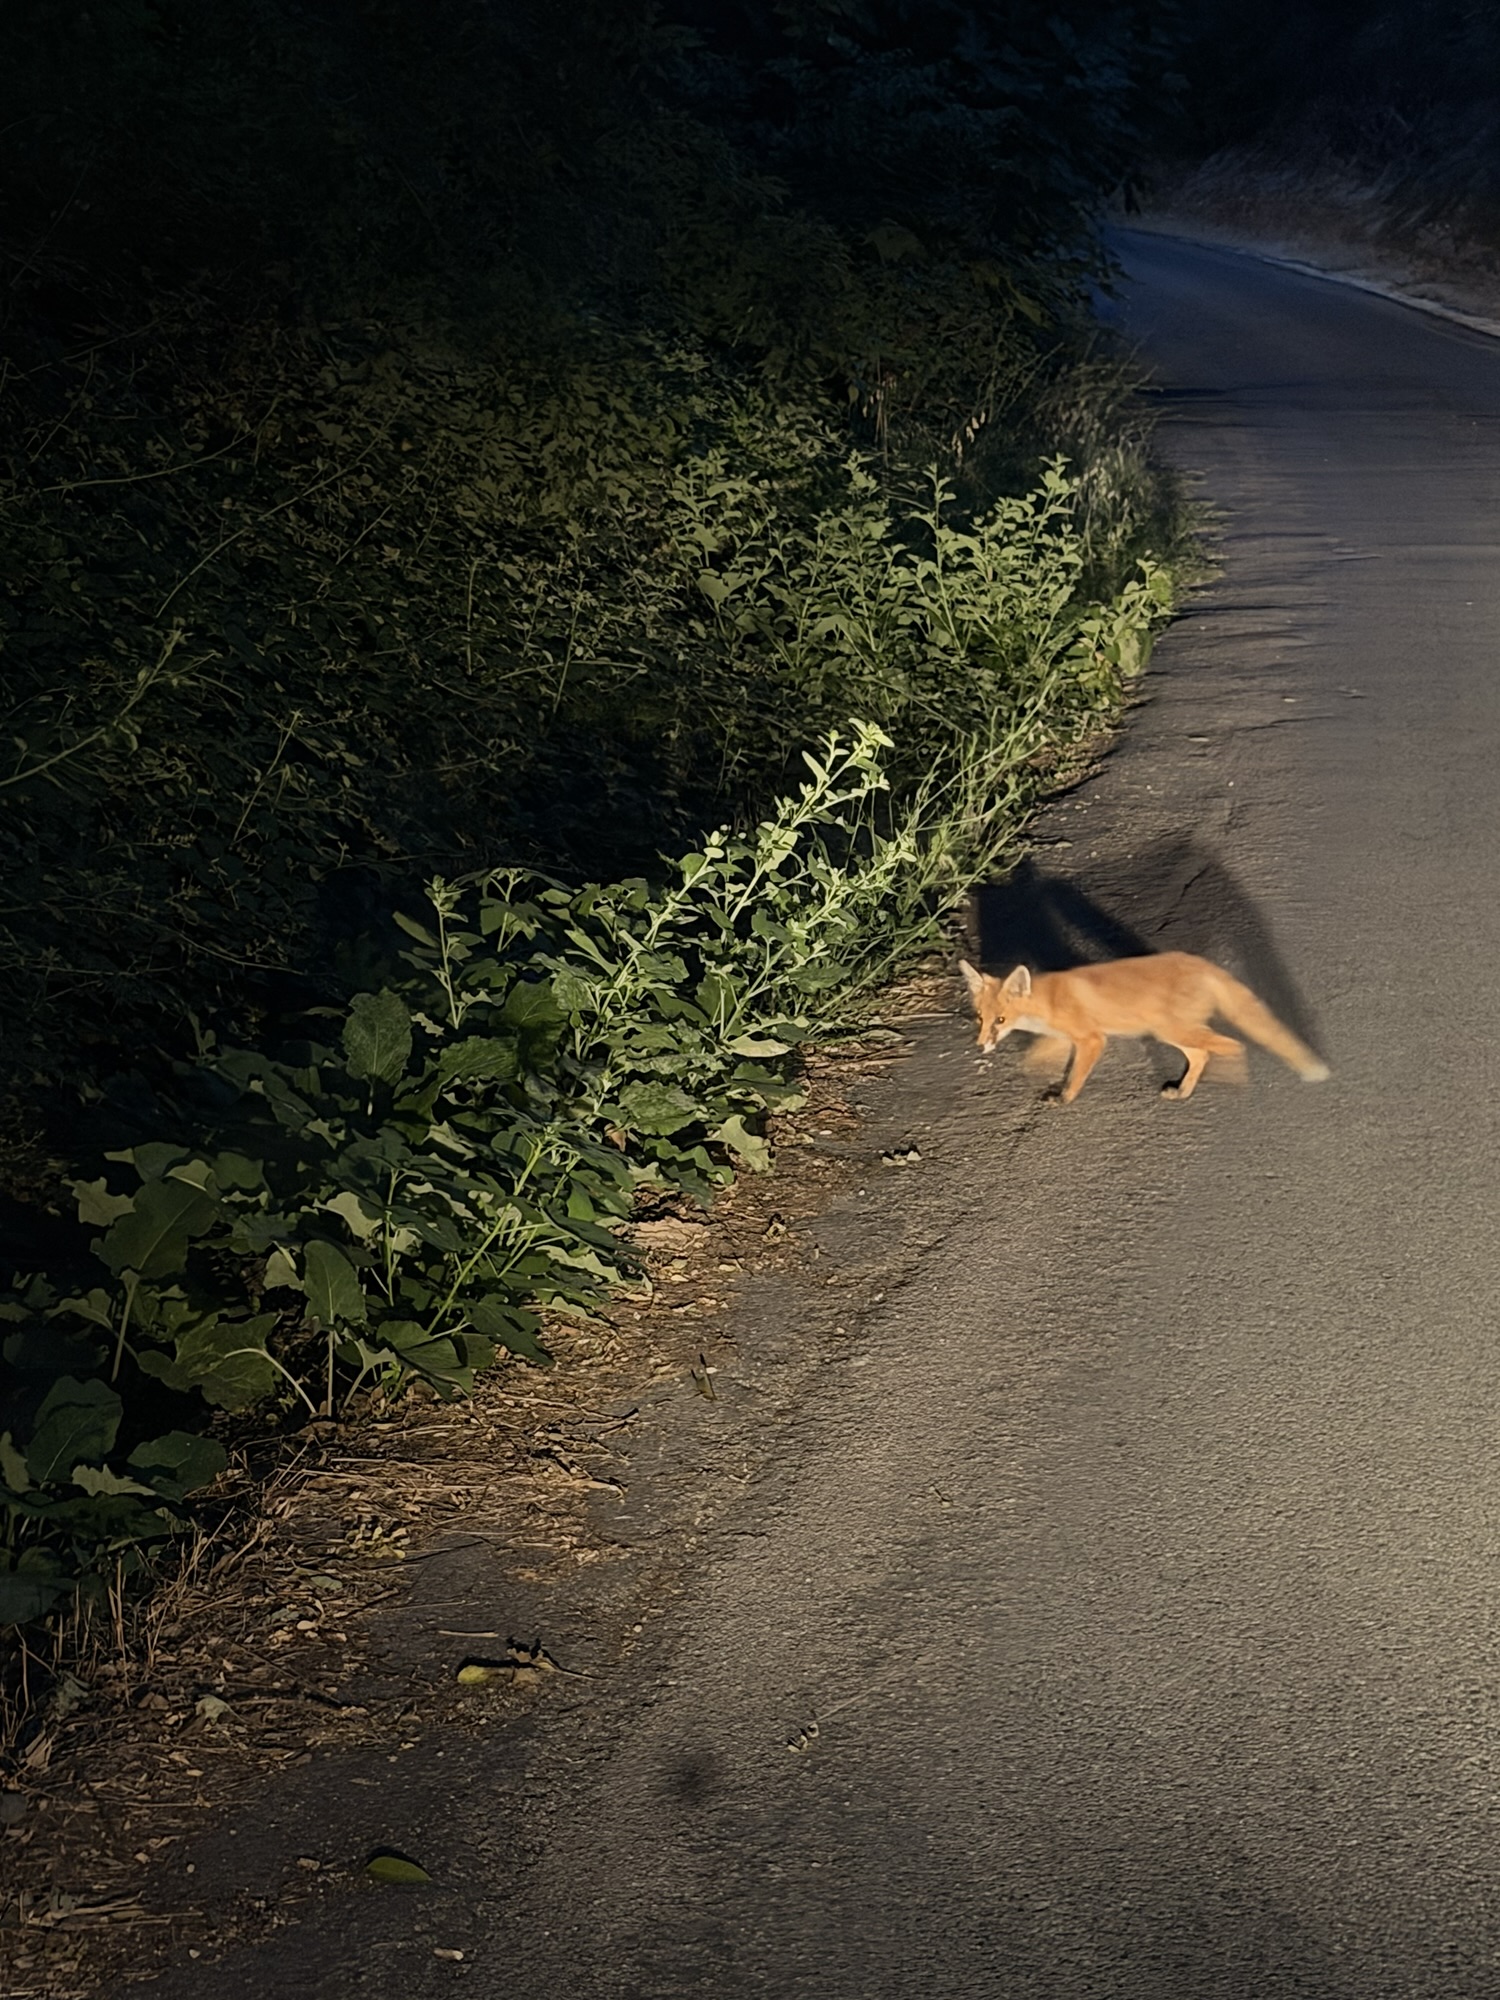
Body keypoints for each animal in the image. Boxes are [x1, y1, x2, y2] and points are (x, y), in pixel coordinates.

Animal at [958, 951, 1330, 1103]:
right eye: (980, 1018)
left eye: (1001, 1020)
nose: (980, 1045)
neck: (1048, 1002)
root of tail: (1201, 964)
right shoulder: (1067, 1038)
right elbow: (1039, 1057)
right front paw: (1040, 1074)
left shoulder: (1093, 1039)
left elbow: (1075, 1076)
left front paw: (1063, 1097)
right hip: (1171, 1031)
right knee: (1201, 1055)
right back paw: (1183, 1091)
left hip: (1171, 1030)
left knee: (1230, 1045)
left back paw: (1233, 1077)